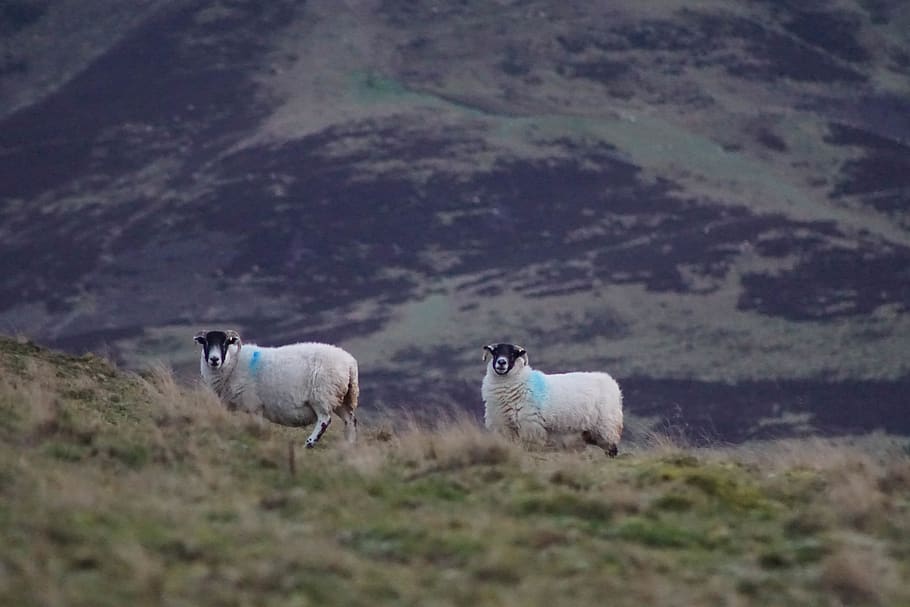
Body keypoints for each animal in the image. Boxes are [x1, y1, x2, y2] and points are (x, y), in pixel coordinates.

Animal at [193, 329, 359, 448]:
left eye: (225, 343)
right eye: (206, 342)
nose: (214, 359)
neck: (233, 363)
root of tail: (350, 363)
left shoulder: (253, 405)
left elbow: (257, 425)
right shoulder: (231, 406)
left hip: (322, 396)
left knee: (325, 420)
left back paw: (309, 443)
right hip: (341, 398)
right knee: (350, 420)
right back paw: (349, 445)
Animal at [481, 343, 623, 456]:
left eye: (512, 354)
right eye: (495, 352)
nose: (501, 362)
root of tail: (611, 381)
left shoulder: (530, 426)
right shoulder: (505, 427)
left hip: (606, 425)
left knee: (612, 448)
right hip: (589, 431)